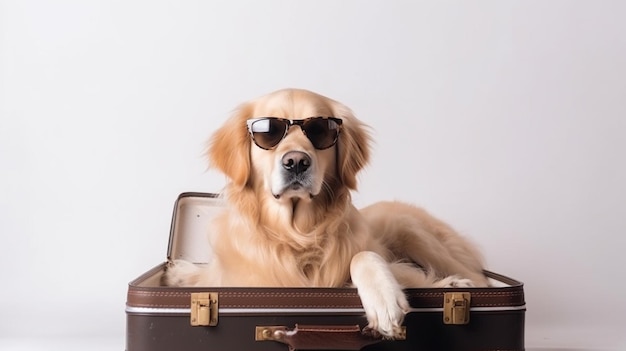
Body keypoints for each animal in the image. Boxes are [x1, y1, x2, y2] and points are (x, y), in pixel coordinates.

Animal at [161, 88, 488, 340]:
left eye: (320, 130)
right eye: (270, 133)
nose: (296, 162)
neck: (297, 236)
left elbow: (366, 256)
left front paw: (384, 298)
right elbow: (206, 275)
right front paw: (181, 274)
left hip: (411, 230)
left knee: (478, 277)